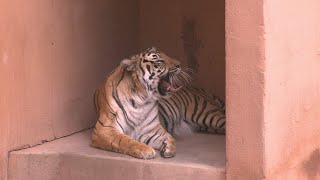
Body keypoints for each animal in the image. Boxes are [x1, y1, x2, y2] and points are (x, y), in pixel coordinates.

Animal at [90, 47, 225, 160]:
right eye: (159, 61)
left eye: (167, 55)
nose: (179, 64)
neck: (141, 99)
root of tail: (199, 89)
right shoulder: (105, 129)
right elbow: (125, 140)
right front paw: (146, 150)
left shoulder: (152, 130)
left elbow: (170, 138)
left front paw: (168, 149)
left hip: (207, 114)